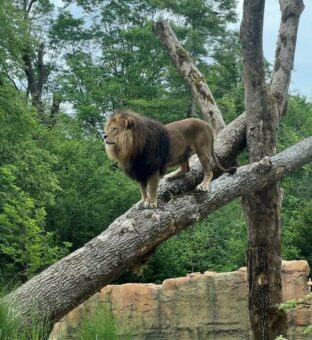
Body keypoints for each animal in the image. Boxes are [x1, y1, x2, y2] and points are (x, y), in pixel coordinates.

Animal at [103, 110, 235, 209]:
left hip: (202, 150)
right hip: (182, 152)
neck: (130, 149)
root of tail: (206, 124)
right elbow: (142, 189)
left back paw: (203, 185)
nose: (103, 136)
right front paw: (143, 201)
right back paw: (171, 176)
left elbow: (152, 187)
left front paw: (151, 202)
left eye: (114, 129)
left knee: (209, 171)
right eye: (107, 129)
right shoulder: (139, 170)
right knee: (185, 168)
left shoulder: (153, 167)